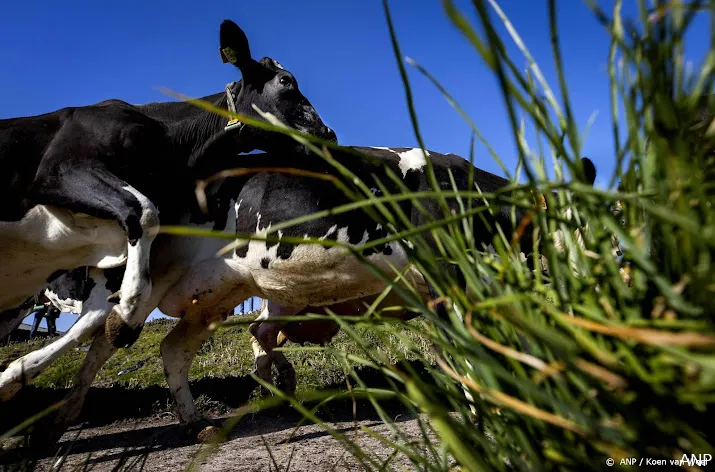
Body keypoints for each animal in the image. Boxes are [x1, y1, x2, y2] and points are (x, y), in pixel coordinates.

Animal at [0, 18, 336, 350]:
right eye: (286, 82)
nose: (329, 134)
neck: (170, 143)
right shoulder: (60, 168)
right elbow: (143, 211)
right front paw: (128, 309)